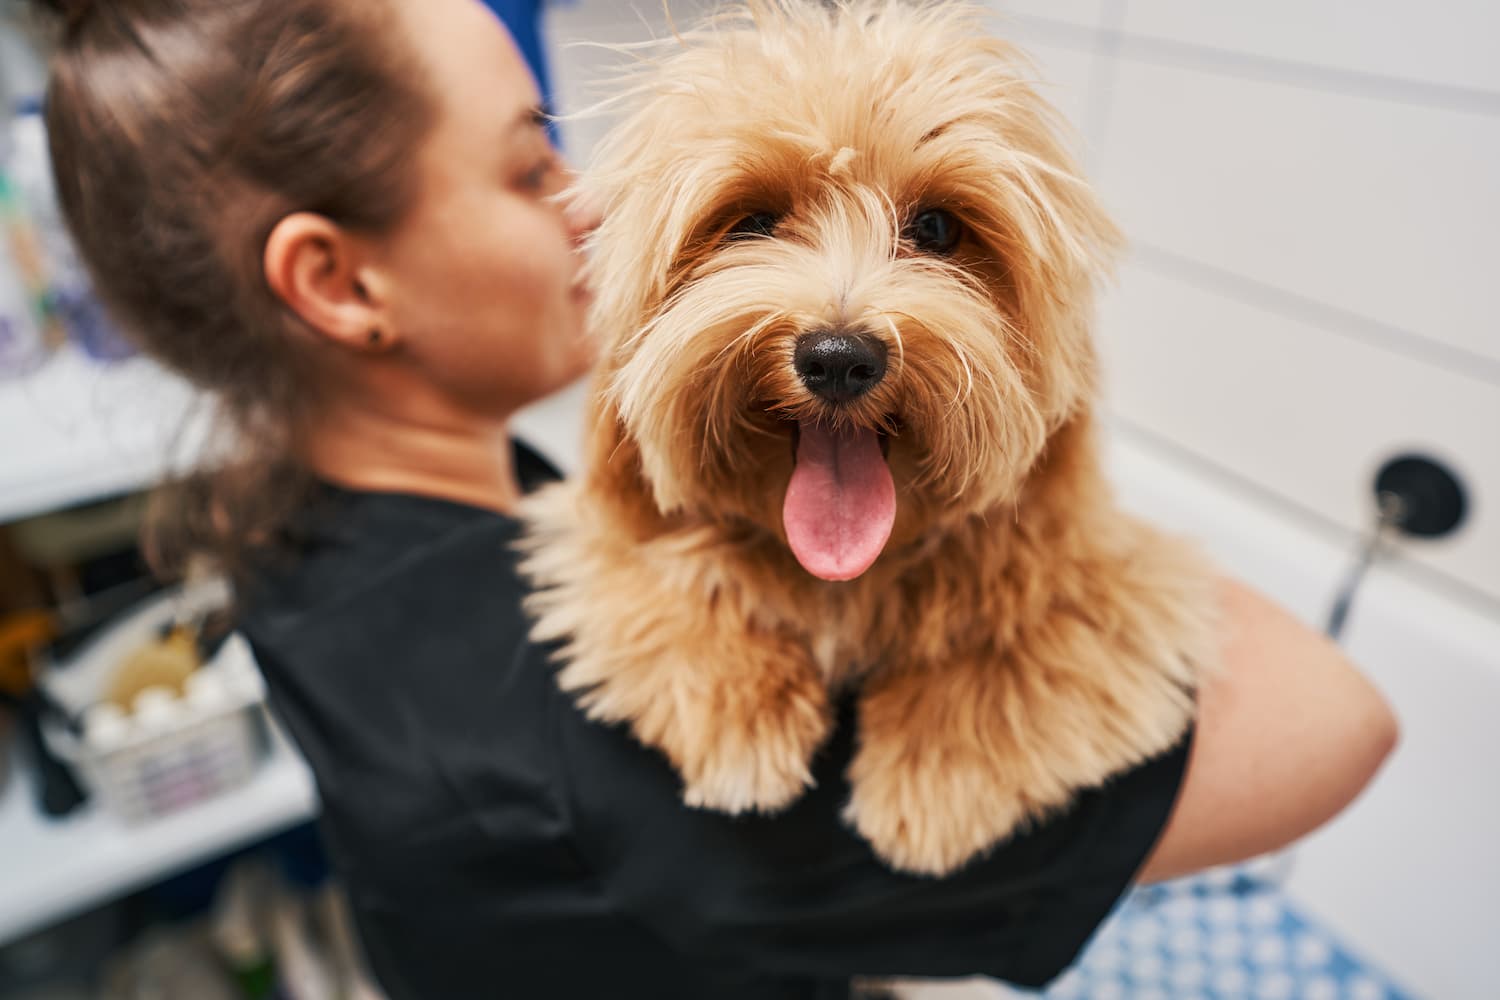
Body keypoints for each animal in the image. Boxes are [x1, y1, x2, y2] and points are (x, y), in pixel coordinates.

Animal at [522, 0, 1224, 875]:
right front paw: (741, 714)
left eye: (937, 227)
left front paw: (933, 773)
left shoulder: (1119, 582)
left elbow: (1019, 641)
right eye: (752, 223)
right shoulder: (597, 538)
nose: (837, 356)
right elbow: (669, 580)